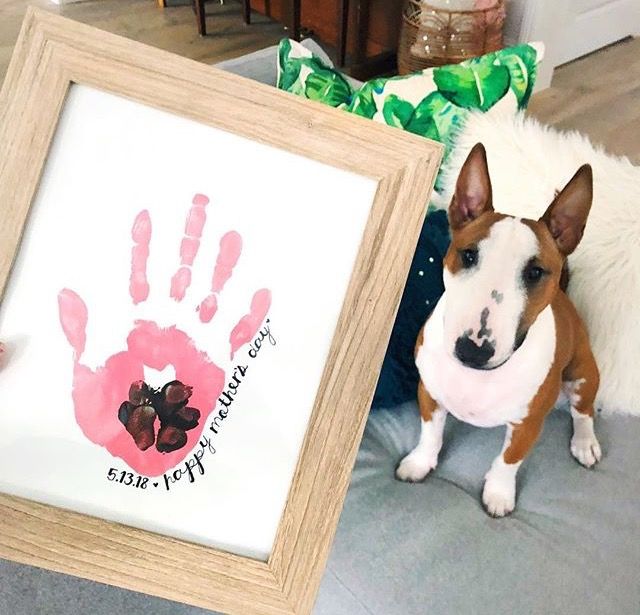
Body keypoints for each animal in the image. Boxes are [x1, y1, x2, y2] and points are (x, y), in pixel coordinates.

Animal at [398, 142, 604, 516]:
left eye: (535, 273)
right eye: (468, 255)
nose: (472, 351)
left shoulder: (528, 425)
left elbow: (508, 460)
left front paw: (498, 494)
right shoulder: (428, 394)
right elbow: (430, 435)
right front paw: (419, 463)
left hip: (583, 372)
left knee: (583, 410)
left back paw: (585, 444)